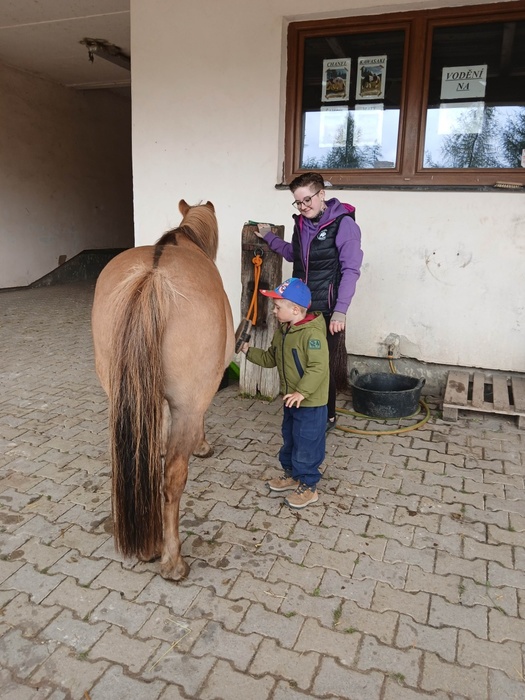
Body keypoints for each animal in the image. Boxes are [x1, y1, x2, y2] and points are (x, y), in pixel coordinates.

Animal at [91, 199, 234, 580]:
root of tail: (152, 278)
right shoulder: (195, 399)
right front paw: (202, 446)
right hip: (187, 404)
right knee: (172, 480)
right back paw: (172, 559)